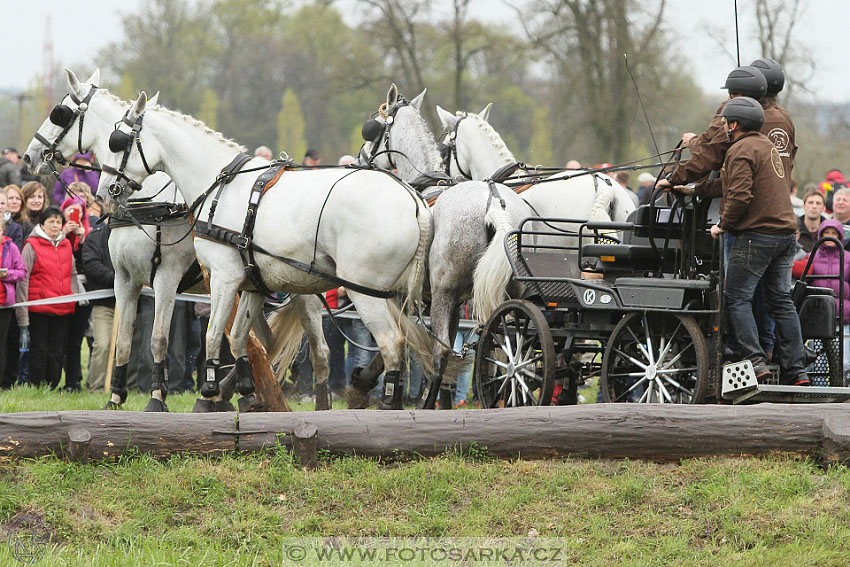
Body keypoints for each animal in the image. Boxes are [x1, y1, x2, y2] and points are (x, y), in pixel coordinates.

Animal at [21, 70, 296, 412]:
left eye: (60, 114)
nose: (29, 156)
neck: (147, 202)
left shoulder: (166, 279)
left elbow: (158, 339)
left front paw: (156, 398)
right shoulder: (124, 279)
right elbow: (124, 340)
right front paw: (115, 397)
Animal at [96, 92, 434, 412]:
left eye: (118, 142)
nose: (103, 194)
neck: (220, 185)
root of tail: (414, 201)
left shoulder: (218, 278)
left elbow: (211, 335)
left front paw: (208, 391)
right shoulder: (252, 285)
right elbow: (237, 338)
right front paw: (245, 392)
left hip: (364, 292)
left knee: (392, 344)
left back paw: (386, 405)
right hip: (386, 295)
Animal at [360, 85, 532, 408]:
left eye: (372, 129)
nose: (361, 158)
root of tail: (496, 207)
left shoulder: (413, 297)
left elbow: (409, 345)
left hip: (444, 293)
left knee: (441, 352)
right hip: (512, 294)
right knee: (517, 347)